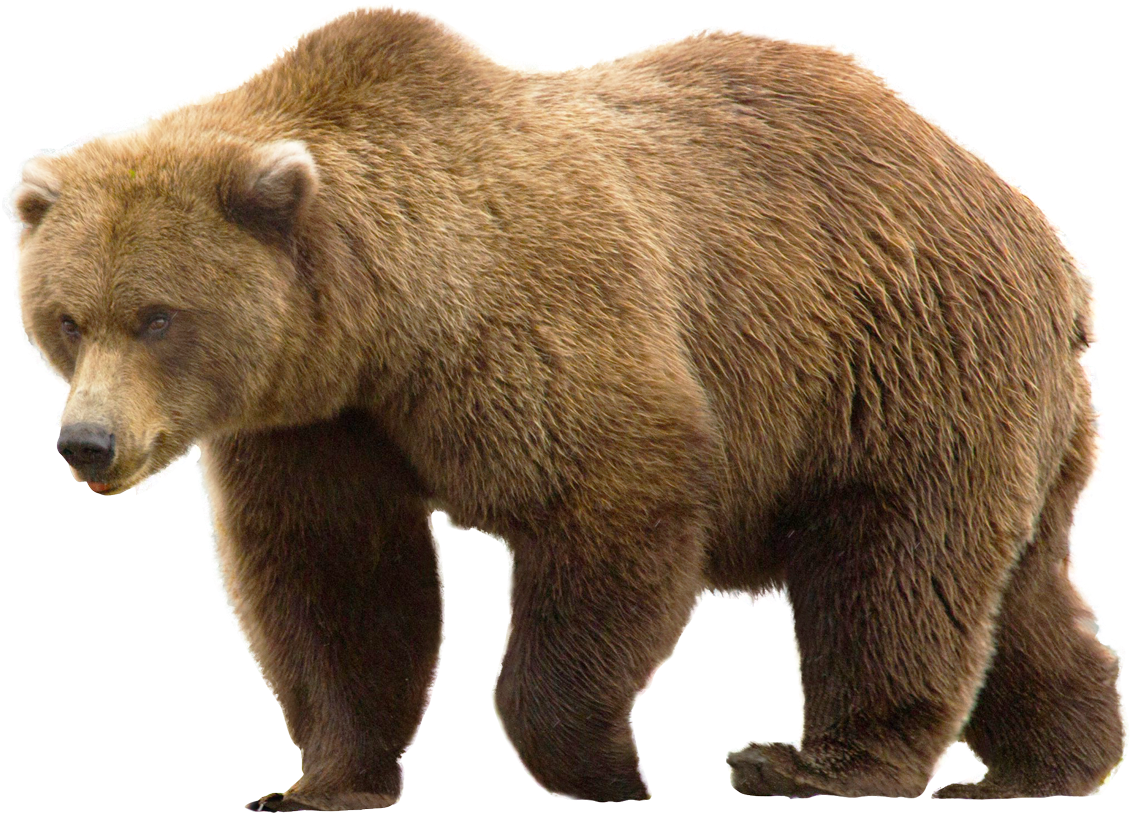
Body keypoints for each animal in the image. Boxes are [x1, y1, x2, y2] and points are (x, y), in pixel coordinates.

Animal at [5, 5, 1125, 808]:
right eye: (65, 318)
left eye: (157, 315)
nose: (86, 442)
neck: (383, 320)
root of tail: (1040, 236)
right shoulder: (318, 420)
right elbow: (336, 575)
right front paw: (322, 780)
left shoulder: (533, 322)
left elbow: (610, 498)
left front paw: (603, 767)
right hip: (1010, 411)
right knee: (1021, 591)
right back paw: (1046, 763)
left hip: (902, 361)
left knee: (894, 565)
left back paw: (814, 762)